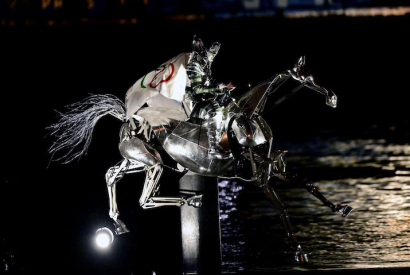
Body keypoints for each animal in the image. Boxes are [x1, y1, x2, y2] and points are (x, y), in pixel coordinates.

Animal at [49, 56, 352, 264]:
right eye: (305, 77)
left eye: (315, 75)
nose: (333, 98)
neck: (251, 117)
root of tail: (126, 117)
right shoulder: (262, 179)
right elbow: (283, 209)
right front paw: (300, 252)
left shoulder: (274, 169)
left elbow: (308, 183)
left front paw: (340, 208)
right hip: (152, 163)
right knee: (144, 199)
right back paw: (191, 200)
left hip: (137, 160)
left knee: (112, 174)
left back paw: (119, 222)